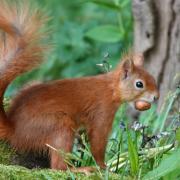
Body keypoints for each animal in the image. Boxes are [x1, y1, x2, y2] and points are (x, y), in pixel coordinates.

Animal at [0, 0, 159, 172]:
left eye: (153, 78)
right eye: (139, 84)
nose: (156, 97)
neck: (111, 89)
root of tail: (14, 130)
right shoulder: (102, 111)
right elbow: (98, 140)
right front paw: (103, 166)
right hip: (58, 126)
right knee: (58, 167)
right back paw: (80, 170)